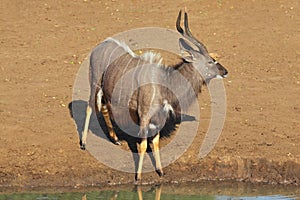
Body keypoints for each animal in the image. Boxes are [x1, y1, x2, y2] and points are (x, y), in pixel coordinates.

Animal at [79, 10, 227, 182]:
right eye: (210, 61)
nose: (225, 71)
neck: (166, 82)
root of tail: (99, 46)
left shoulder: (159, 117)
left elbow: (155, 143)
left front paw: (160, 171)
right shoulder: (144, 115)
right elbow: (143, 145)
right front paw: (138, 177)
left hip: (106, 91)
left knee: (103, 107)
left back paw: (115, 139)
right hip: (95, 82)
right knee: (90, 106)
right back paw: (84, 143)